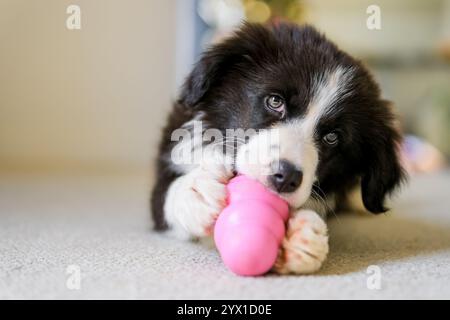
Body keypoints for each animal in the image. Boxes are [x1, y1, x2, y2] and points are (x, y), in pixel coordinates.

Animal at [150, 22, 404, 274]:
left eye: (332, 137)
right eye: (275, 101)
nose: (287, 176)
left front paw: (301, 234)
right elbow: (166, 196)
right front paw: (194, 193)